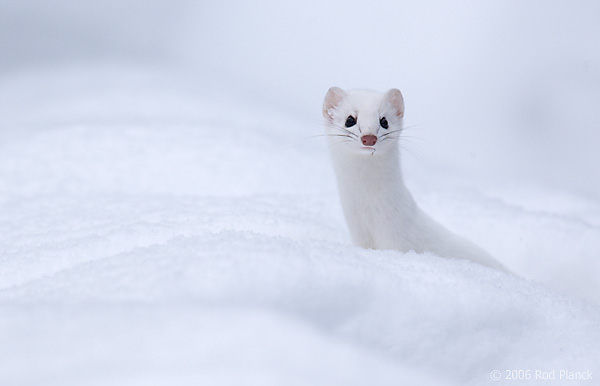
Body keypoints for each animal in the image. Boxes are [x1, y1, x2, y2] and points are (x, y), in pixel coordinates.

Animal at [324, 86, 506, 272]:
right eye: (350, 119)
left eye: (384, 121)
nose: (369, 138)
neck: (368, 213)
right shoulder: (359, 233)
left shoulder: (397, 238)